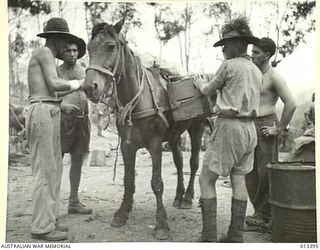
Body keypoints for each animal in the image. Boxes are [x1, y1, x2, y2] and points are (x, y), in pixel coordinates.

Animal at [81, 18, 209, 239]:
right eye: (89, 48)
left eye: (111, 46)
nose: (90, 87)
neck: (137, 100)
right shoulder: (127, 145)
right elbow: (128, 179)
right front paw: (122, 212)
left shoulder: (155, 144)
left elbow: (157, 183)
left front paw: (161, 224)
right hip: (174, 136)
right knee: (179, 163)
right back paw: (178, 195)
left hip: (196, 128)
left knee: (192, 164)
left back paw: (187, 197)